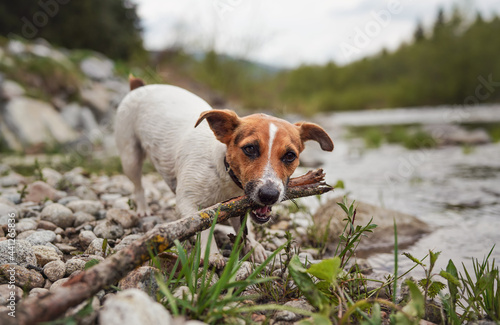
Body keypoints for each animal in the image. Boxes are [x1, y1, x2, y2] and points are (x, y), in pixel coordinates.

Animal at [115, 77, 334, 268]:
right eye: (250, 149)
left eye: (290, 155)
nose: (269, 195)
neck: (224, 173)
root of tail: (141, 86)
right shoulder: (188, 203)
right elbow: (201, 225)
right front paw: (211, 254)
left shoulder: (238, 205)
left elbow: (244, 228)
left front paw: (253, 246)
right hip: (130, 156)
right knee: (137, 184)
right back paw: (143, 208)